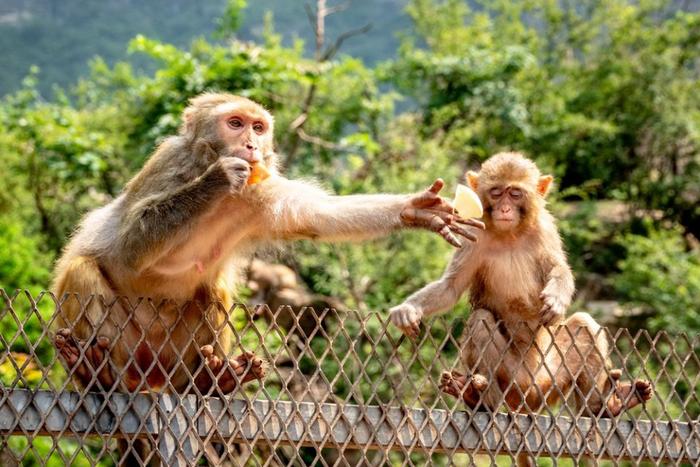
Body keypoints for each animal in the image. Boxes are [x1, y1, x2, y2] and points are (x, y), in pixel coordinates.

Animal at [52, 93, 484, 396]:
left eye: (258, 128)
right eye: (235, 123)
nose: (251, 146)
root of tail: (148, 373)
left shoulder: (261, 190)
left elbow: (319, 216)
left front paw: (416, 211)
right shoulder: (169, 163)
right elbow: (130, 248)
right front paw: (216, 177)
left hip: (171, 356)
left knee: (213, 292)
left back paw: (209, 381)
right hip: (126, 348)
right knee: (82, 270)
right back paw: (96, 373)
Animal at [392, 153, 652, 416]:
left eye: (515, 193)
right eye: (496, 192)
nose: (505, 208)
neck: (510, 234)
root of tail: (530, 398)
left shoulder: (545, 229)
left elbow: (559, 269)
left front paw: (556, 299)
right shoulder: (473, 235)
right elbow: (451, 287)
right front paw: (408, 309)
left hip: (551, 376)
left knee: (583, 324)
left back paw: (605, 406)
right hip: (510, 378)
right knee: (481, 320)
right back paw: (479, 398)